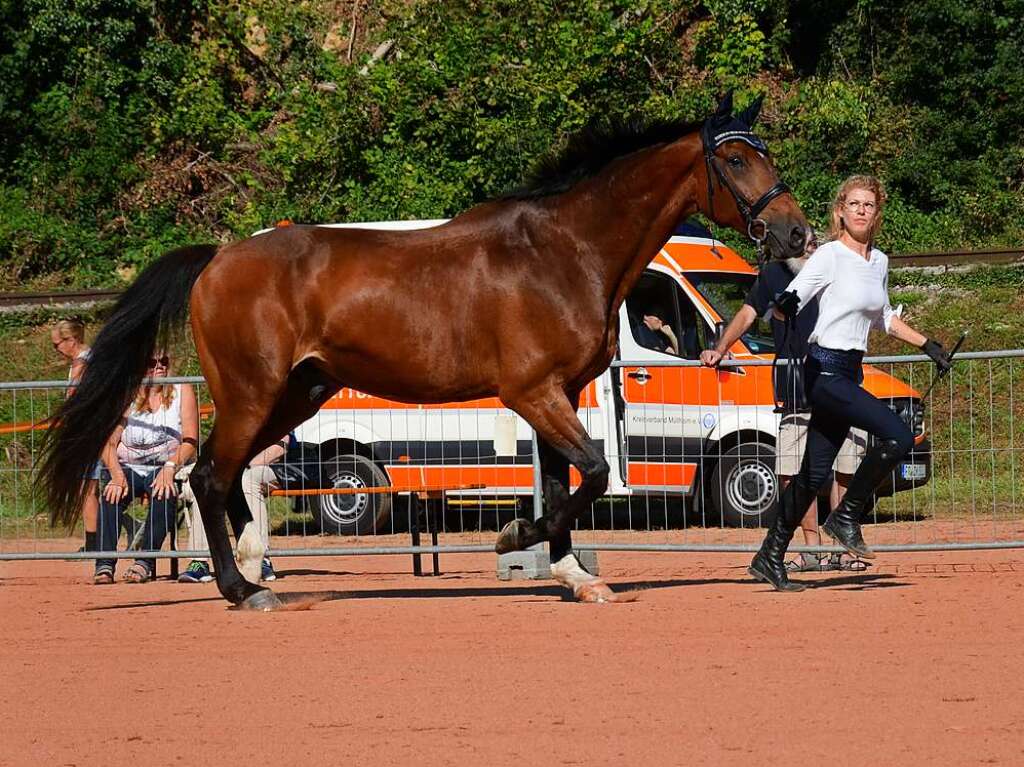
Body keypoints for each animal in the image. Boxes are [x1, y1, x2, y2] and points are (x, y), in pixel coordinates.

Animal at [37, 89, 806, 606]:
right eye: (736, 157)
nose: (795, 232)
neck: (567, 251)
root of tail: (219, 257)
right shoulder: (531, 391)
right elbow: (588, 472)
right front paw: (513, 540)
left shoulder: (556, 394)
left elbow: (570, 481)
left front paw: (572, 574)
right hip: (253, 391)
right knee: (208, 476)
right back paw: (242, 587)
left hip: (297, 392)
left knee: (223, 477)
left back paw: (254, 565)